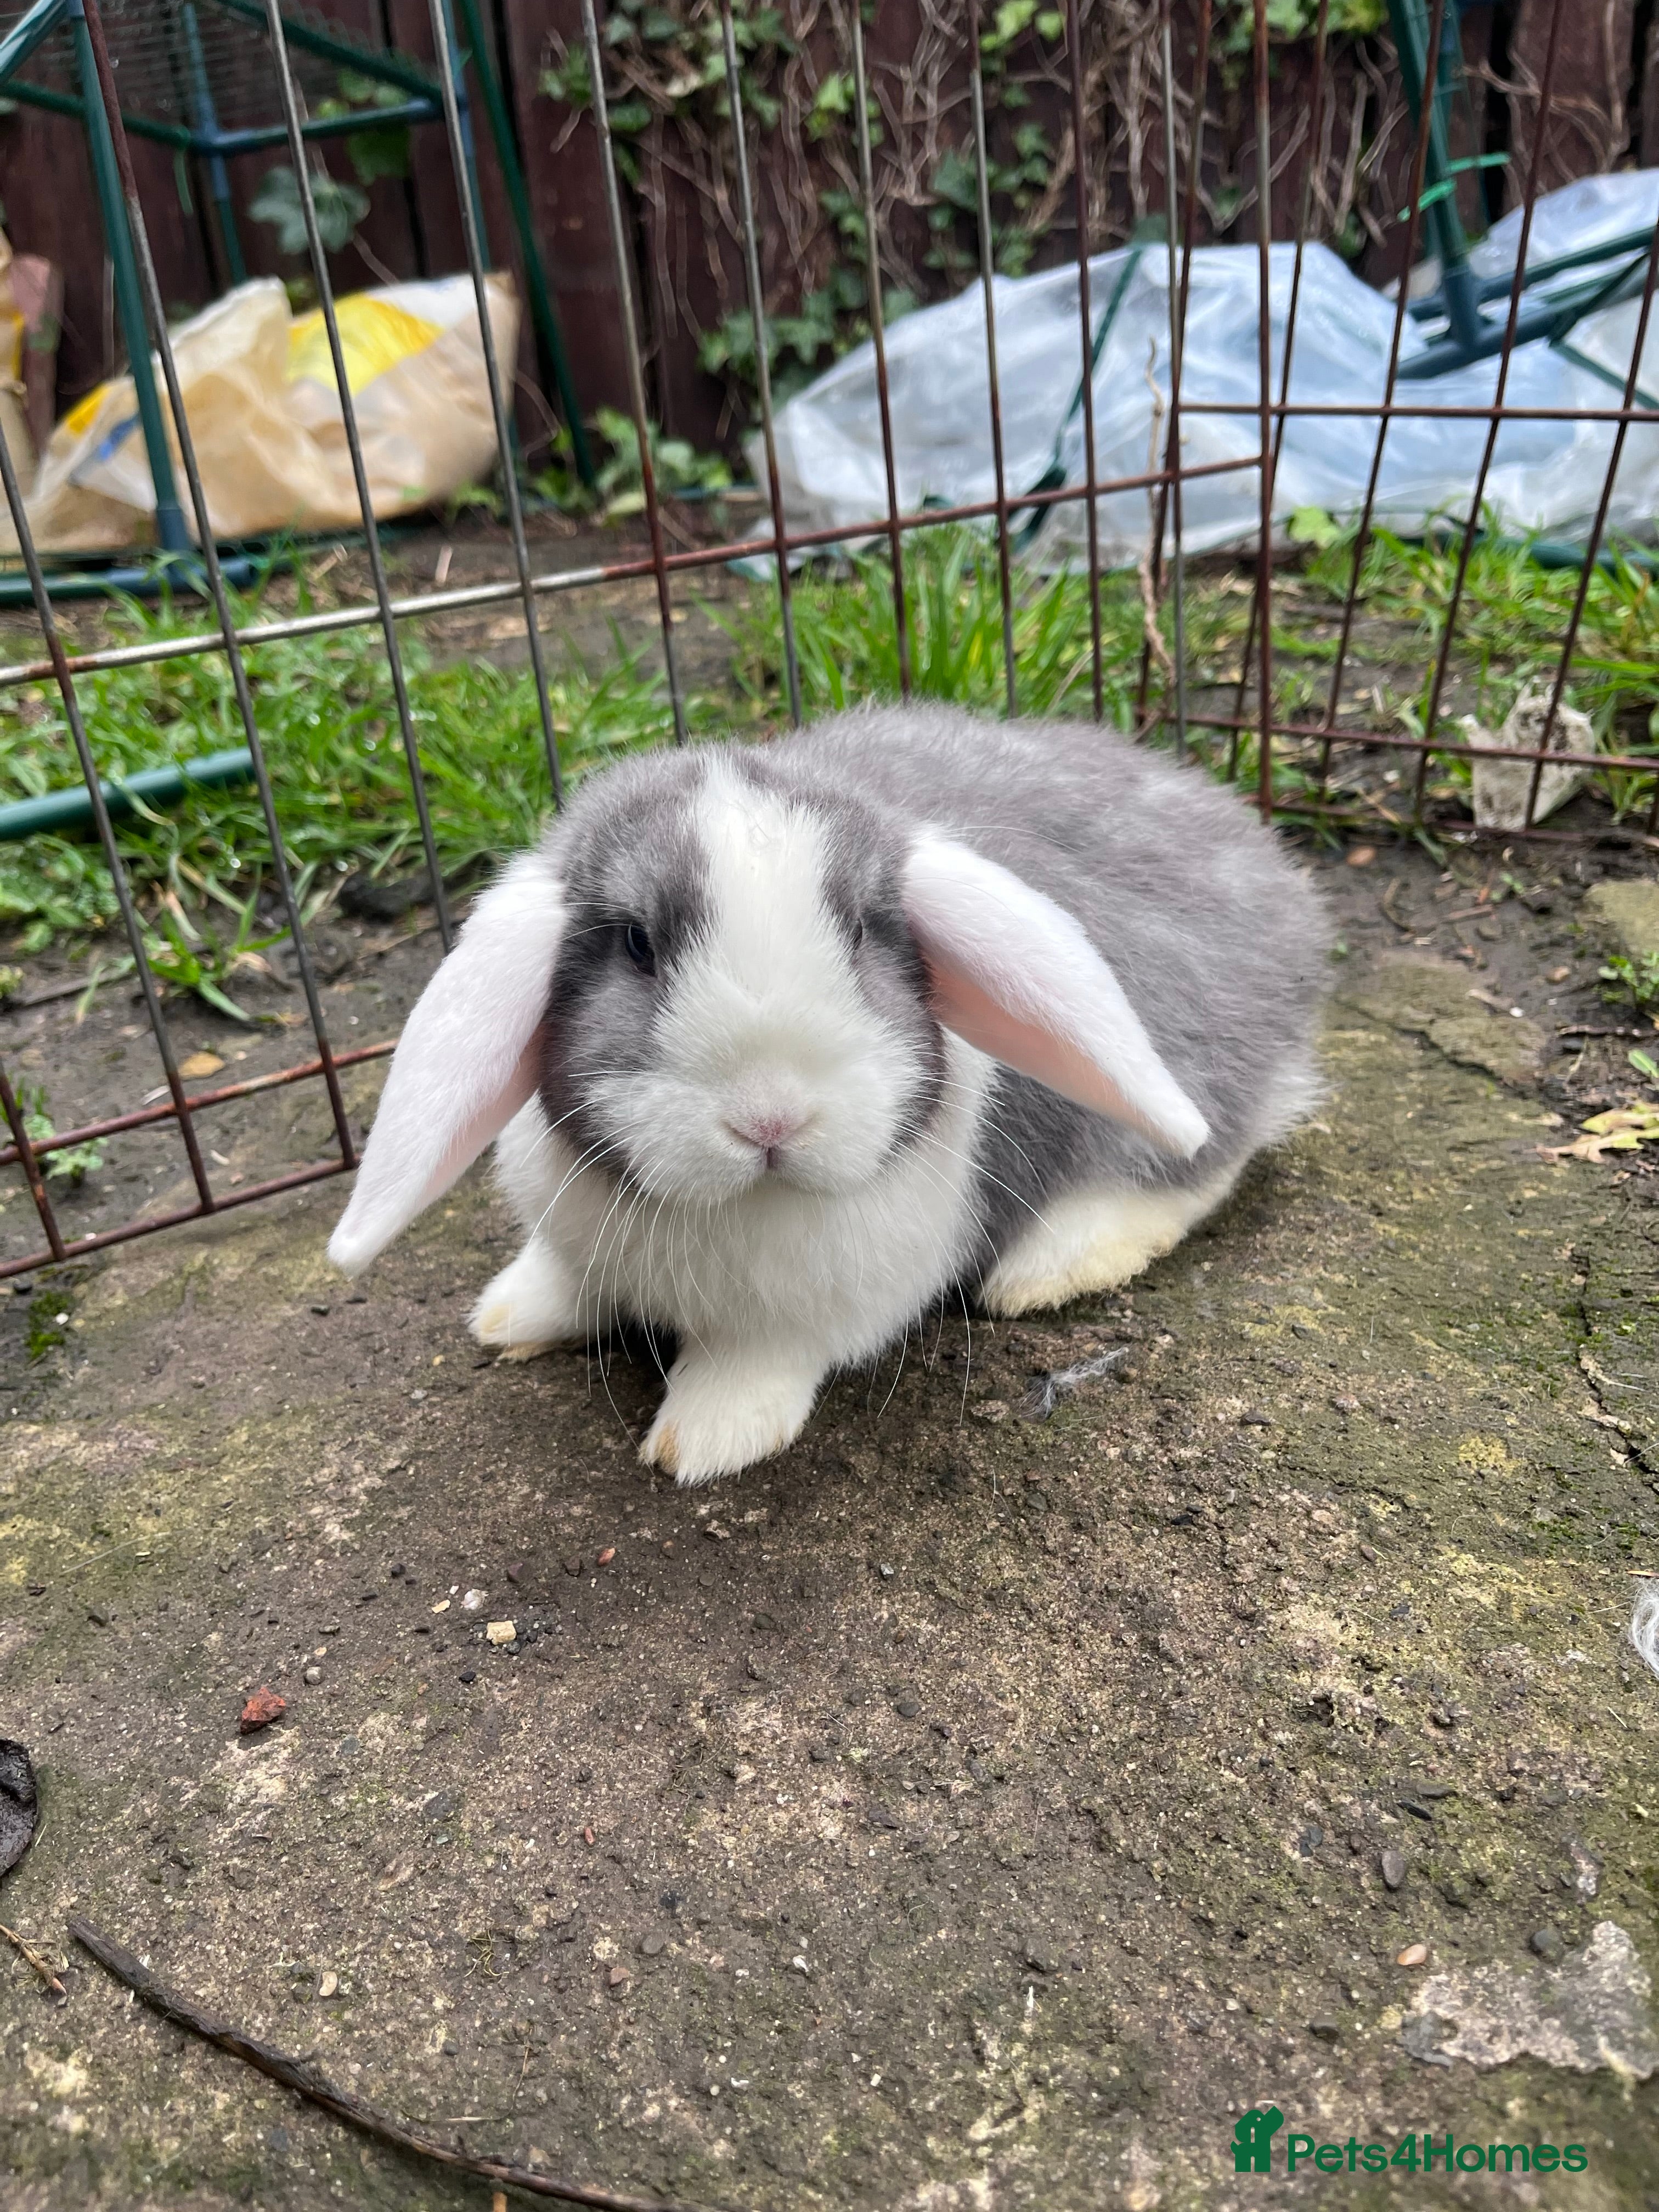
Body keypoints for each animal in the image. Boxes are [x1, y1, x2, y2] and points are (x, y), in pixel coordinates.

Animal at [328, 702, 1329, 1483]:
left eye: (858, 930)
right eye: (638, 943)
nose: (771, 1118)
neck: (739, 1208)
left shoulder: (809, 1315)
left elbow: (752, 1365)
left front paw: (705, 1439)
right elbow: (563, 1277)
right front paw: (510, 1316)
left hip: (1177, 1072)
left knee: (1201, 1160)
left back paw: (1049, 1267)